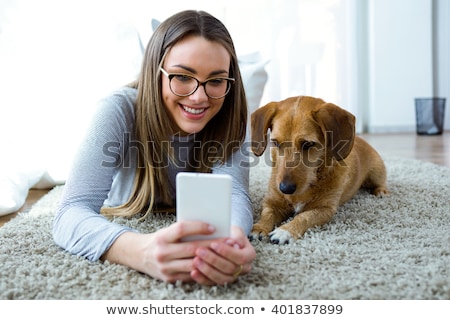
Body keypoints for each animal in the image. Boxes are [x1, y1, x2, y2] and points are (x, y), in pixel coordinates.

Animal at [250, 96, 386, 244]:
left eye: (308, 144)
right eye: (275, 143)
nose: (285, 189)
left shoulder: (324, 210)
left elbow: (303, 217)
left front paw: (285, 230)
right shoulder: (272, 203)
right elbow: (267, 214)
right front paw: (259, 227)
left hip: (376, 173)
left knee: (381, 182)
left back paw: (381, 191)